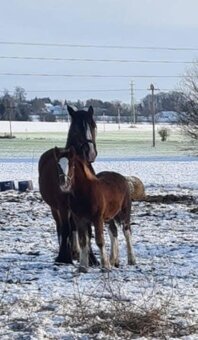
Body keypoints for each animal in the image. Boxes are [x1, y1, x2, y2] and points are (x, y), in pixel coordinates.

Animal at [38, 105, 98, 264]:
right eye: (77, 128)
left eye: (93, 125)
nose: (90, 153)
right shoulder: (63, 205)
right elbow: (65, 228)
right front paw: (64, 257)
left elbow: (86, 229)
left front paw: (91, 258)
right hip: (55, 208)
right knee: (61, 227)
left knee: (74, 227)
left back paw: (76, 252)